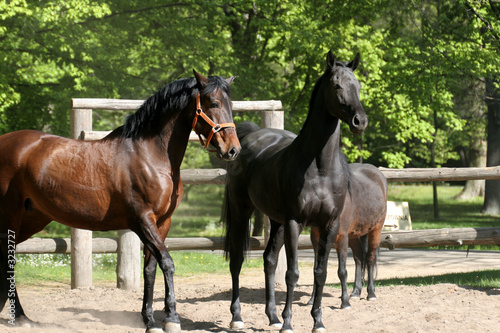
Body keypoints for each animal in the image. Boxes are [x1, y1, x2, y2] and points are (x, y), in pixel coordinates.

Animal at [0, 70, 240, 332]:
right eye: (214, 103)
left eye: (231, 105)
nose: (233, 150)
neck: (149, 156)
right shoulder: (142, 220)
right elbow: (167, 263)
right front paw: (172, 319)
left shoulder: (162, 223)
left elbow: (150, 268)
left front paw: (150, 319)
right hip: (10, 217)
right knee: (7, 260)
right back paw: (19, 315)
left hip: (32, 219)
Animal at [223, 50, 368, 330]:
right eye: (337, 85)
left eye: (358, 85)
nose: (360, 121)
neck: (319, 167)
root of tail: (251, 137)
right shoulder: (295, 222)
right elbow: (292, 273)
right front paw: (289, 323)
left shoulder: (329, 225)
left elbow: (320, 273)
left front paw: (317, 321)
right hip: (242, 212)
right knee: (236, 261)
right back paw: (237, 317)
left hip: (276, 221)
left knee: (269, 260)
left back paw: (272, 317)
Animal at [308, 162, 386, 308]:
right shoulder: (316, 239)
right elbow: (316, 269)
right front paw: (312, 300)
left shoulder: (341, 237)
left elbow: (342, 271)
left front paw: (345, 302)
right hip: (354, 235)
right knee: (359, 258)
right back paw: (355, 292)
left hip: (375, 230)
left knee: (370, 258)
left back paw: (371, 294)